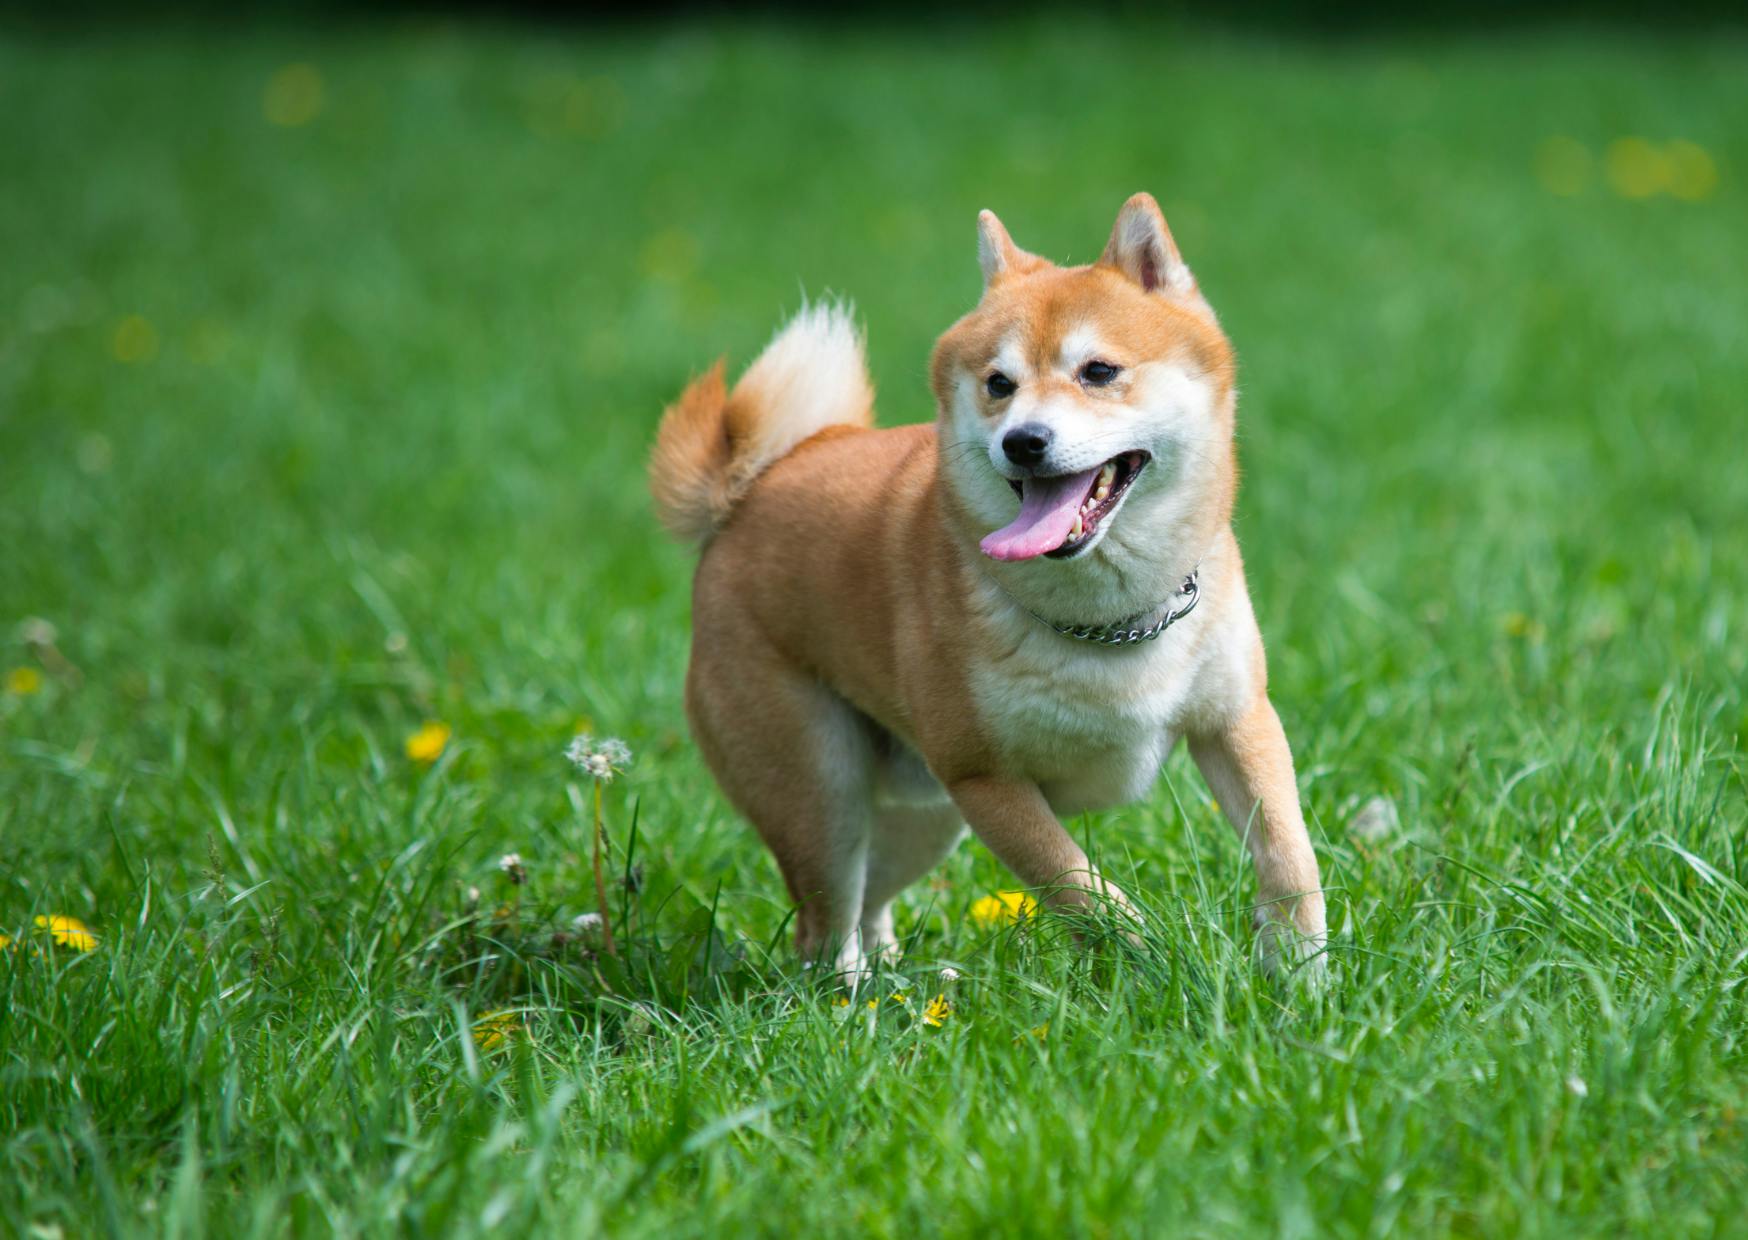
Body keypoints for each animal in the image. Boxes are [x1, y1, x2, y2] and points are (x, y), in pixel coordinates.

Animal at [653, 193, 1321, 972]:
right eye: (999, 385)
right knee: (824, 929)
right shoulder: (985, 781)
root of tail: (747, 494)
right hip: (822, 794)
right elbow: (1085, 892)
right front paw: (1154, 964)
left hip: (925, 814)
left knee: (870, 901)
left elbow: (1288, 853)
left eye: (1098, 371)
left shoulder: (1237, 722)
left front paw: (1300, 968)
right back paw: (852, 994)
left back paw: (896, 980)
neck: (1112, 619)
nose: (1023, 441)